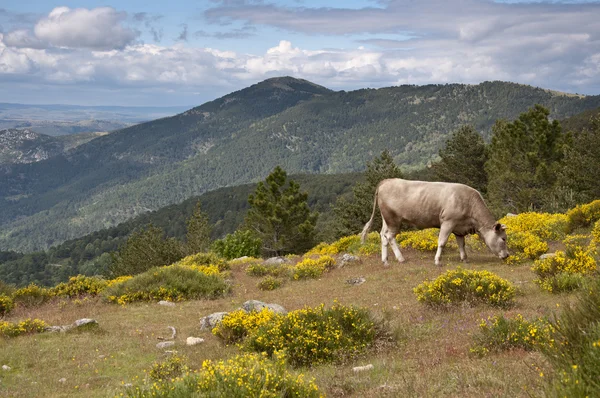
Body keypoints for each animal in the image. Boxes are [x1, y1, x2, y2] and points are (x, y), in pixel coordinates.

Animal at [358, 179, 508, 266]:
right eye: (503, 238)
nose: (507, 255)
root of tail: (387, 181)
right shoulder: (448, 222)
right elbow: (442, 242)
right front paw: (437, 260)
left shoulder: (459, 227)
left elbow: (461, 244)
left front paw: (465, 259)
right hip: (393, 219)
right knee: (390, 236)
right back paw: (401, 258)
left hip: (386, 219)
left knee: (383, 235)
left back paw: (385, 260)